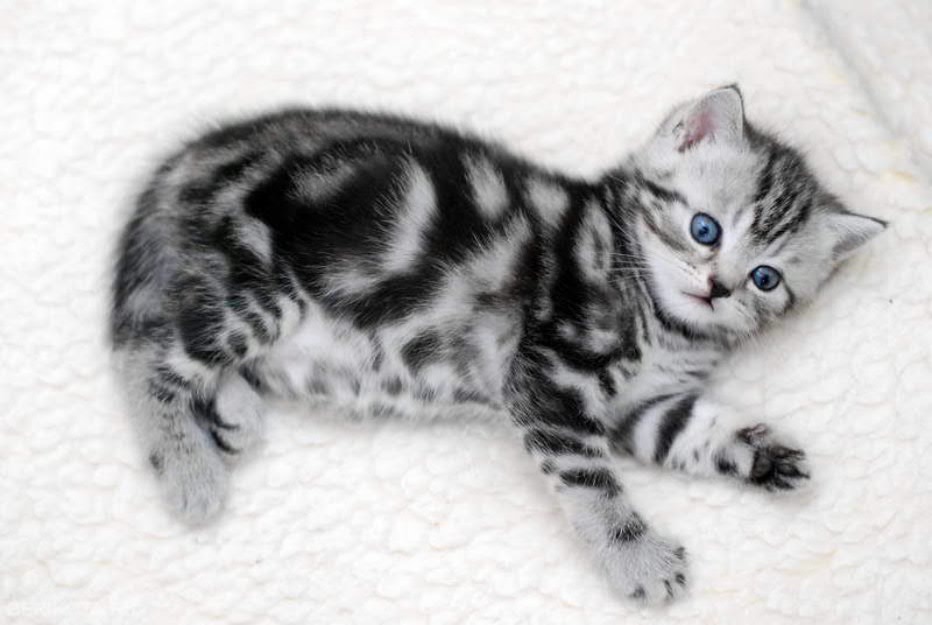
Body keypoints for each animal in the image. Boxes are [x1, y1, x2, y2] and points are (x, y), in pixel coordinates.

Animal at [110, 85, 884, 604]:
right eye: (704, 230)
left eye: (765, 278)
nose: (718, 288)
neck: (664, 322)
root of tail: (195, 158)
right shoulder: (549, 379)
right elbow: (591, 482)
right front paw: (635, 557)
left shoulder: (642, 409)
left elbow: (692, 432)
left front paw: (763, 454)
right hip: (267, 283)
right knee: (152, 351)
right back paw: (188, 467)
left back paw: (232, 411)